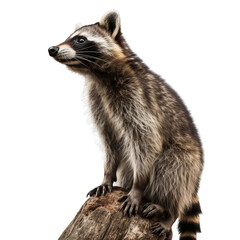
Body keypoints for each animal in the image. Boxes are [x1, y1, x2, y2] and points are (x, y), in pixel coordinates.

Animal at [49, 11, 203, 240]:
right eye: (70, 37)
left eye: (80, 40)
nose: (52, 49)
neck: (98, 75)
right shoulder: (98, 100)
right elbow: (110, 139)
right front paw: (107, 176)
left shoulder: (137, 97)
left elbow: (146, 139)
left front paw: (137, 189)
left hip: (188, 162)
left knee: (172, 168)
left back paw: (169, 210)